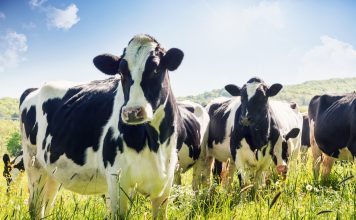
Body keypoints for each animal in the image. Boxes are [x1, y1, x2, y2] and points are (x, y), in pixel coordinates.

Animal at [21, 34, 196, 218]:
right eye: (121, 72)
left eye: (156, 69)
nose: (132, 111)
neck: (155, 143)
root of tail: (35, 88)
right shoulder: (117, 180)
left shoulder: (165, 183)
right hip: (34, 164)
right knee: (35, 207)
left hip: (52, 172)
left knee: (45, 207)